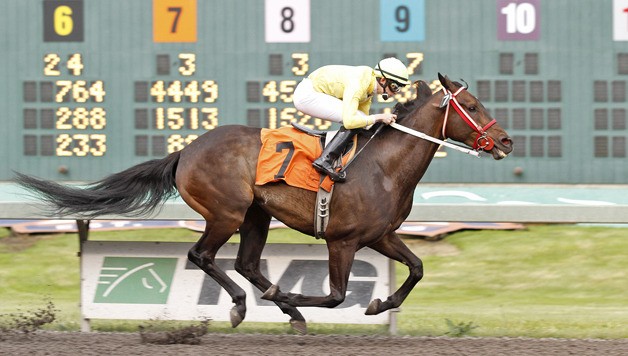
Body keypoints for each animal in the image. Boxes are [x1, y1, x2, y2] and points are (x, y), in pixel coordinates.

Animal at [14, 72, 512, 334]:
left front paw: (377, 305)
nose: (506, 140)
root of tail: (186, 150)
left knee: (247, 264)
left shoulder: (381, 235)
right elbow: (336, 295)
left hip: (257, 214)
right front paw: (293, 295)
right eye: (471, 104)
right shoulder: (343, 240)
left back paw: (280, 307)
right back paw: (245, 304)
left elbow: (417, 269)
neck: (383, 168)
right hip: (226, 212)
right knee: (203, 256)